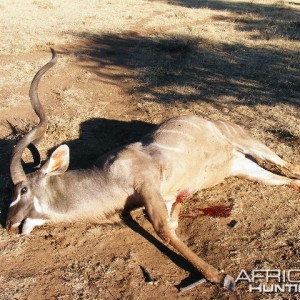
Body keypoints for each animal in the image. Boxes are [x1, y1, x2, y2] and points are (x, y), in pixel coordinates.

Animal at [5, 48, 300, 290]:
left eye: (22, 190)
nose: (8, 224)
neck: (106, 176)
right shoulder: (159, 197)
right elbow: (172, 222)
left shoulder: (147, 187)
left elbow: (162, 227)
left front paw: (219, 276)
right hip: (245, 167)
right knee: (286, 180)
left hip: (249, 142)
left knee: (289, 165)